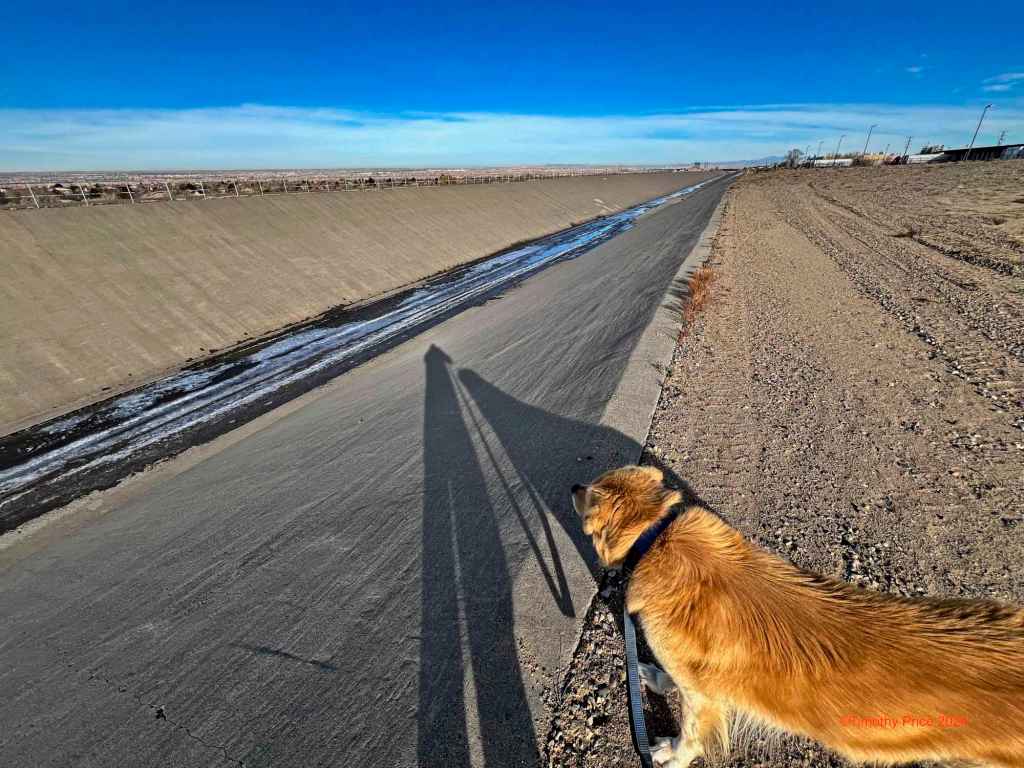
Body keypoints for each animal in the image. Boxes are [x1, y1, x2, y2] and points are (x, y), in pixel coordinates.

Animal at [571, 465, 1024, 767]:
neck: (655, 538)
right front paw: (653, 675)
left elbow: (690, 734)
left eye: (589, 493)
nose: (573, 484)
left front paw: (670, 753)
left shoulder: (703, 700)